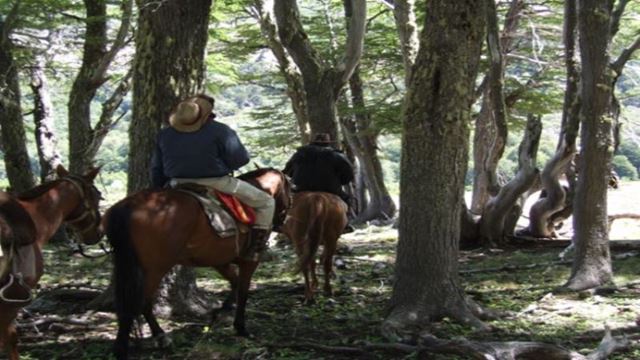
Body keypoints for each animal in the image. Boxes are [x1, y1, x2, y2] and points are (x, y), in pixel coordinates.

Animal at [106, 169, 294, 360]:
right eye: (291, 192)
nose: (283, 223)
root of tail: (129, 205)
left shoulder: (219, 260)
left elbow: (234, 282)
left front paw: (223, 309)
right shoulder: (249, 261)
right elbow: (243, 291)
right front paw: (240, 327)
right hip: (154, 269)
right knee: (141, 302)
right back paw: (151, 338)